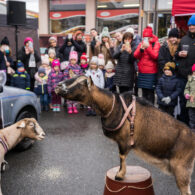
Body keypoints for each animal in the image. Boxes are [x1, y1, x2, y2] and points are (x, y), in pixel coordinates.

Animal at [55, 76, 195, 195]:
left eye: (80, 83)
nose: (58, 85)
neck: (113, 106)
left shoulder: (124, 141)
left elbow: (122, 157)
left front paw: (119, 175)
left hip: (182, 169)